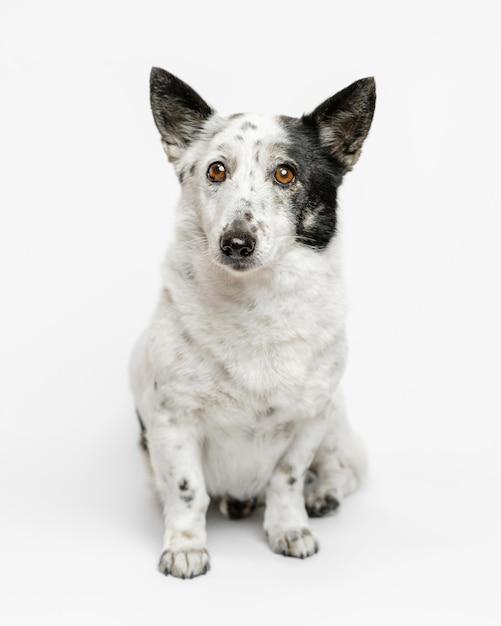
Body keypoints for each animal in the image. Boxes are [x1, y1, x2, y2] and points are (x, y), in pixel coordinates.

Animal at [130, 67, 376, 576]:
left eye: (285, 173)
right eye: (216, 170)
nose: (236, 243)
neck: (254, 303)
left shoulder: (310, 420)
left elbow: (287, 478)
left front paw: (290, 528)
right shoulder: (172, 420)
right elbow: (187, 490)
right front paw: (185, 547)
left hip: (336, 423)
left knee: (343, 470)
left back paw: (322, 495)